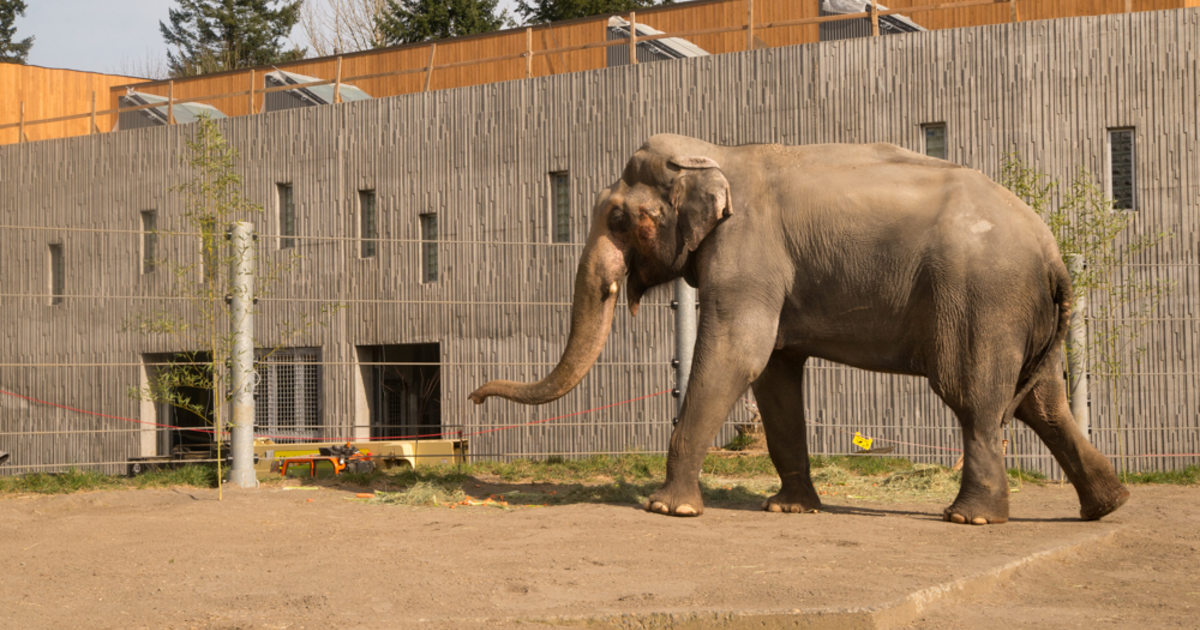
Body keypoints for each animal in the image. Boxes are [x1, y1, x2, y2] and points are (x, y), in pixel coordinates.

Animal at [472, 135, 1128, 523]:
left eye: (616, 218)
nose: (475, 397)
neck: (718, 153)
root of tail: (1052, 249)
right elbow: (774, 375)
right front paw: (787, 509)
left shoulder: (747, 253)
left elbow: (737, 354)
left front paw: (667, 510)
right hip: (1019, 312)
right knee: (1043, 402)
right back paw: (1107, 505)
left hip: (980, 299)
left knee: (975, 399)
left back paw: (969, 517)